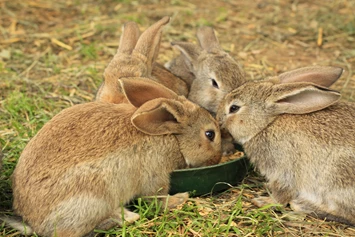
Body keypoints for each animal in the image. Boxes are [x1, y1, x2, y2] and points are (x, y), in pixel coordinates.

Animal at [6, 77, 222, 236]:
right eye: (209, 134)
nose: (217, 159)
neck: (171, 137)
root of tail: (34, 223)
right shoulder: (155, 176)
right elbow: (155, 198)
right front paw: (180, 198)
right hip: (93, 197)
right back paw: (125, 217)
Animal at [216, 65, 355, 225]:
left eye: (234, 108)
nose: (218, 118)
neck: (267, 124)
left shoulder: (284, 171)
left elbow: (282, 194)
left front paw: (263, 202)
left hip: (337, 177)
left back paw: (304, 205)